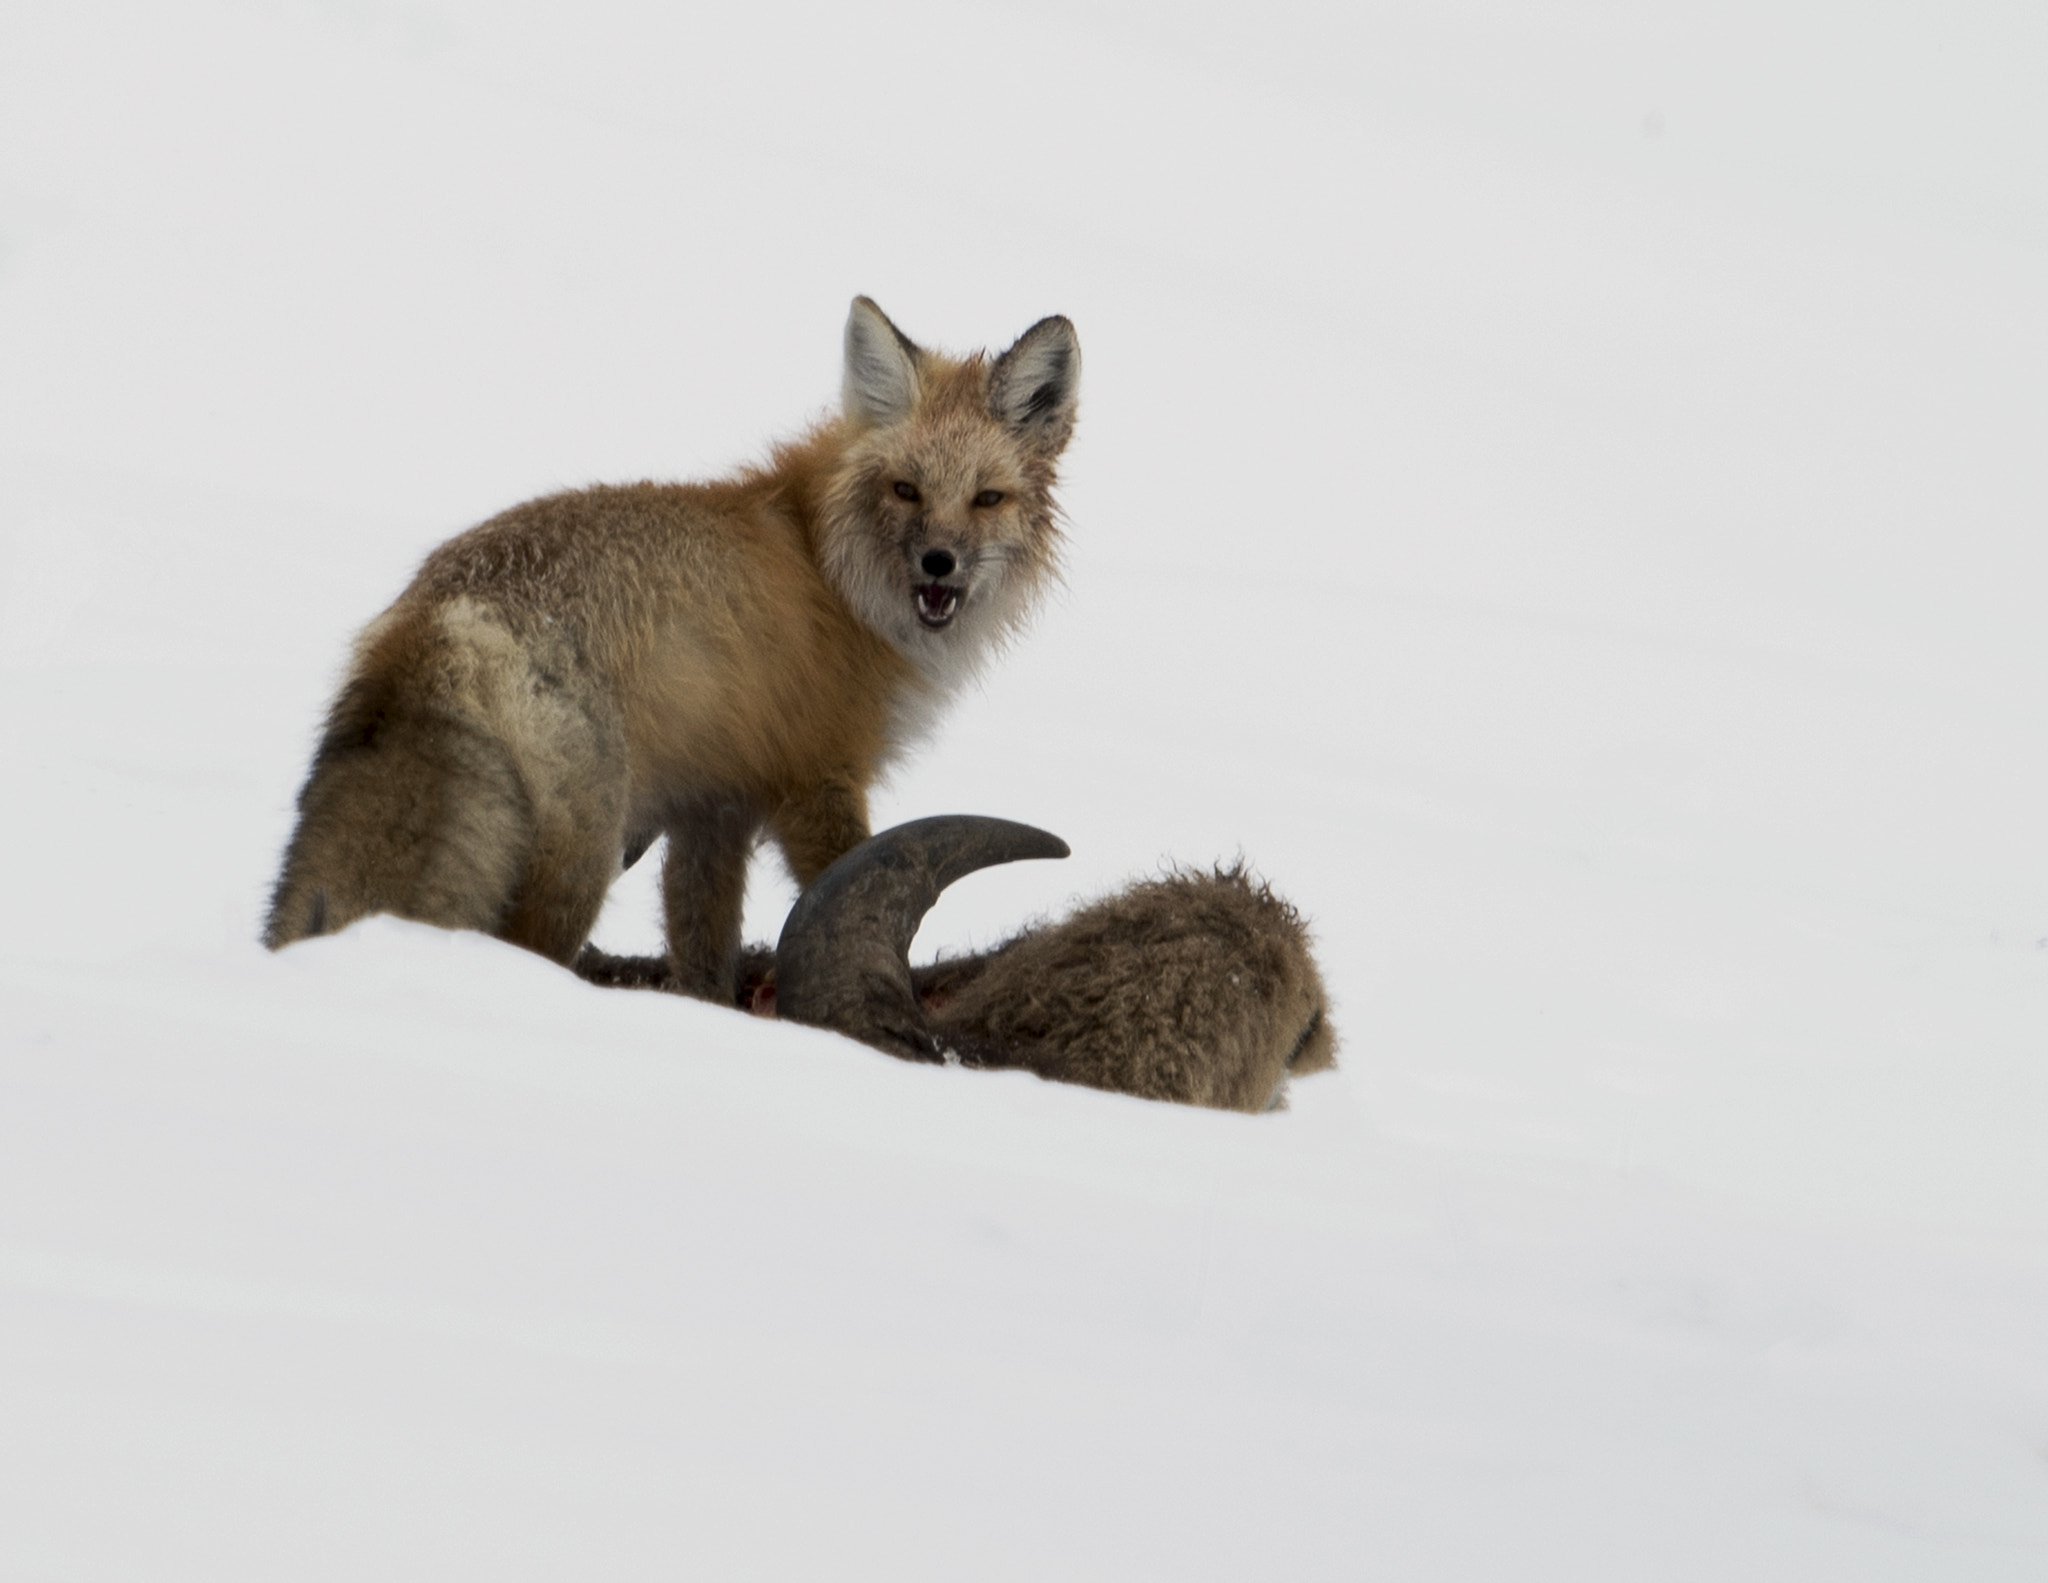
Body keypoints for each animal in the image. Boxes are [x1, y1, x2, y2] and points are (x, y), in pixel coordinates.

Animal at [264, 301, 1081, 995]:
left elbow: (703, 956)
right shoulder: (816, 780)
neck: (829, 568)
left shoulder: (711, 808)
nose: (940, 563)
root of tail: (448, 607)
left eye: (987, 498)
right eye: (906, 490)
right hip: (582, 862)